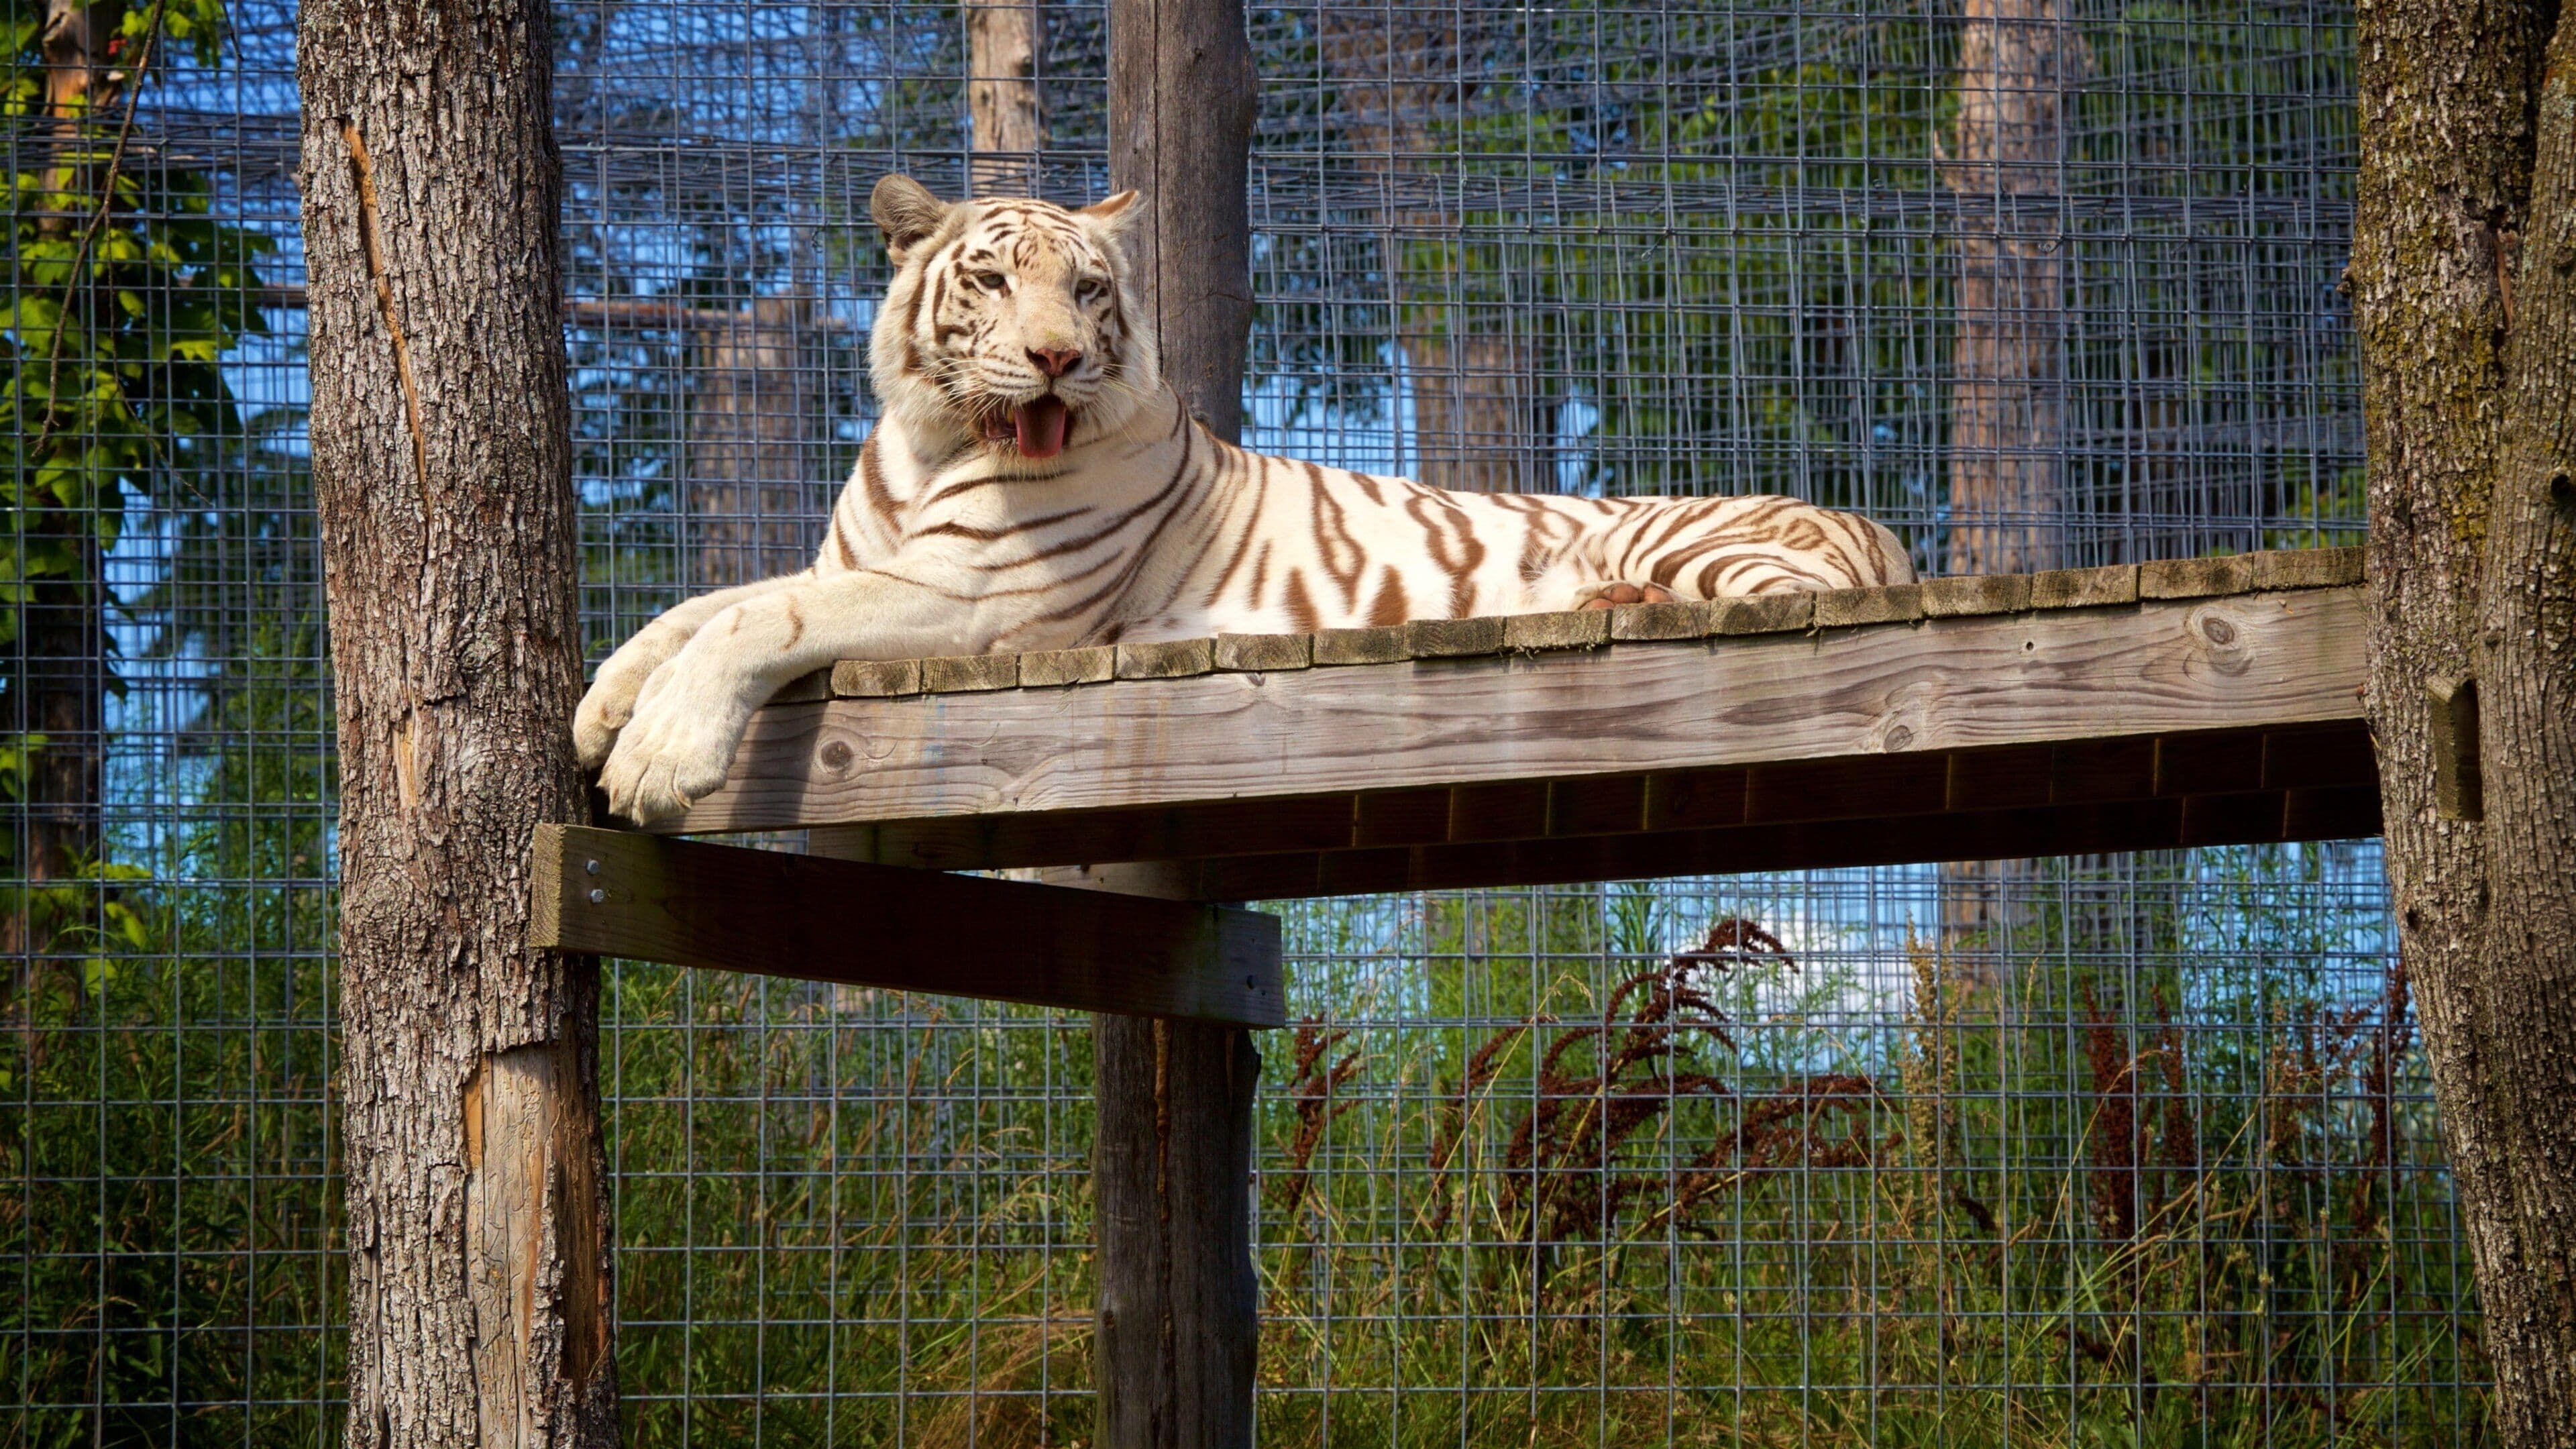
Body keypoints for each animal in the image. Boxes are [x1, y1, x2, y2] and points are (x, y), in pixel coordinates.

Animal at [576, 174, 1915, 824]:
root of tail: (1877, 526)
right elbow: (698, 607)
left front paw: (656, 761)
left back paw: (1612, 598)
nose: (1059, 357)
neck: (930, 438)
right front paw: (600, 709)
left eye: (1091, 289)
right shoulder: (861, 562)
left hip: (1705, 545)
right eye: (996, 281)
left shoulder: (973, 597)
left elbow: (761, 618)